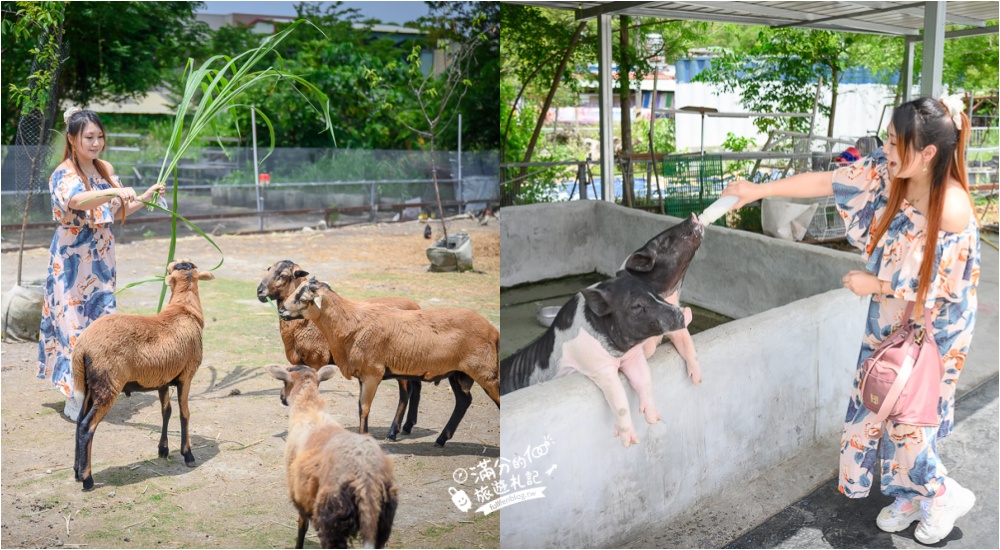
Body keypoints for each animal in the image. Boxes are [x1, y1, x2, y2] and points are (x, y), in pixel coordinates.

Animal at [72, 260, 213, 494]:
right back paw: (87, 479)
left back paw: (76, 471)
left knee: (78, 421)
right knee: (86, 427)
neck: (184, 309)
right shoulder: (186, 375)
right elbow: (184, 413)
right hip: (108, 385)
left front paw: (163, 449)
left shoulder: (162, 380)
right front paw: (188, 454)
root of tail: (81, 347)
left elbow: (166, 411)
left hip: (89, 386)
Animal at [256, 262, 424, 444]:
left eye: (283, 275)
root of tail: (416, 306)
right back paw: (408, 426)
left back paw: (393, 432)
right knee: (417, 386)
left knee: (405, 393)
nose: (259, 291)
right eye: (269, 269)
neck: (303, 325)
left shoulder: (316, 359)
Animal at [274, 364, 402, 548]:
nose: (281, 397)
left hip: (331, 516)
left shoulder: (300, 491)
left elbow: (302, 525)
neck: (309, 408)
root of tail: (365, 479)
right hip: (383, 518)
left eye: (284, 382)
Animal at [278, 280, 500, 448]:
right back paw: (440, 440)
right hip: (458, 373)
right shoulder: (362, 374)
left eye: (303, 299)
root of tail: (493, 331)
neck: (349, 324)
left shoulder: (372, 373)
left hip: (485, 371)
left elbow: (364, 407)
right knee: (463, 401)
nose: (282, 311)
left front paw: (364, 437)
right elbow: (360, 407)